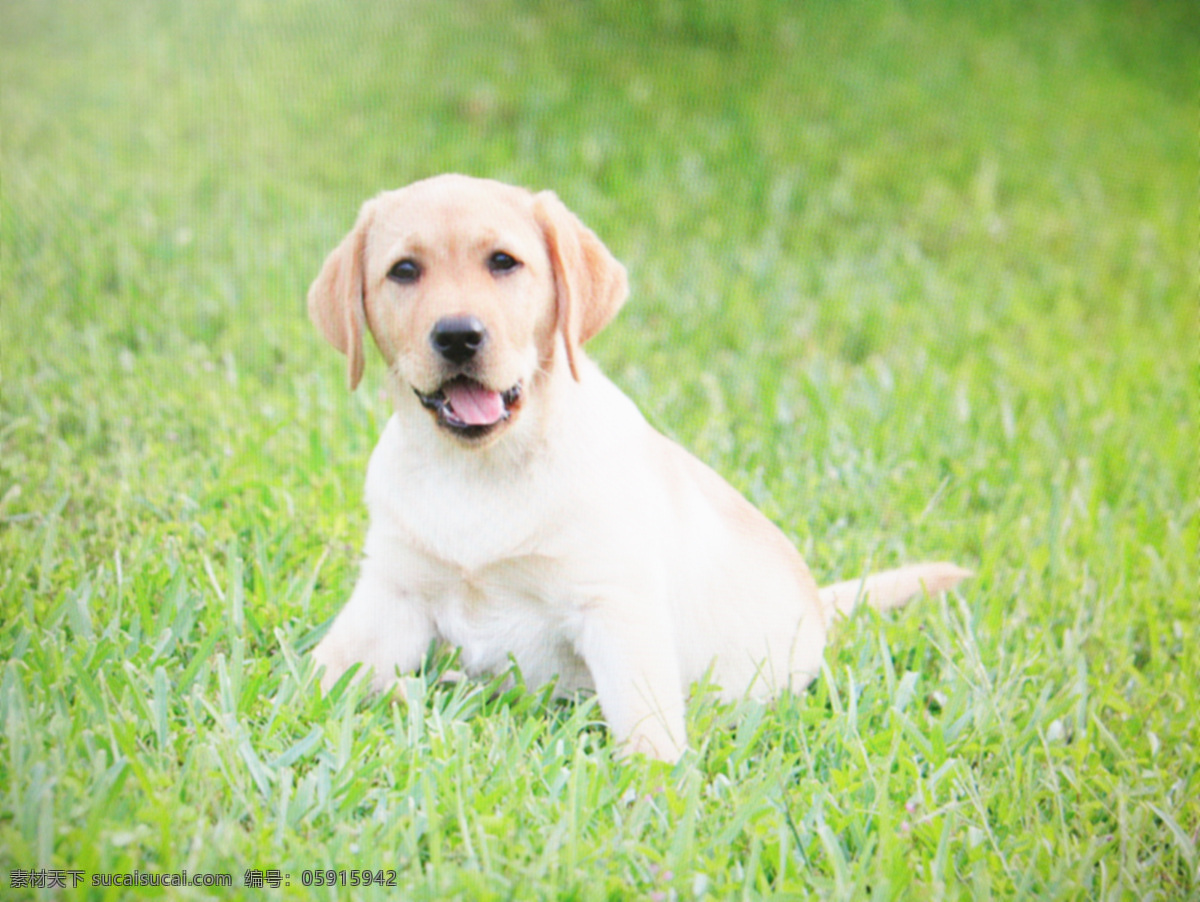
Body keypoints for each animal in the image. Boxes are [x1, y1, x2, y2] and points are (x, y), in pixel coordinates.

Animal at [304, 170, 969, 762]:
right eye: (404, 271)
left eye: (503, 262)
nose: (458, 336)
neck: (480, 471)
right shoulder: (391, 596)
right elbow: (318, 677)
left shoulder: (616, 608)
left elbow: (644, 720)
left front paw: (653, 796)